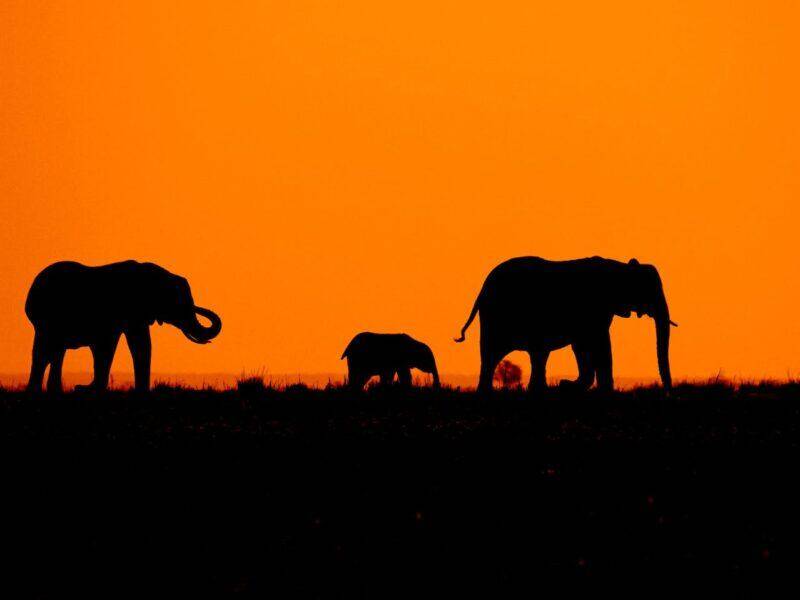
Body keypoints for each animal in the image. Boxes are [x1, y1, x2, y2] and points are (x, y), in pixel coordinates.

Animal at [25, 260, 222, 393]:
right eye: (178, 303)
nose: (198, 307)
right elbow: (121, 345)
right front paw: (88, 389)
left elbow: (135, 344)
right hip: (45, 320)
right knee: (44, 352)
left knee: (55, 352)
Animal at [455, 256, 676, 393]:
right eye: (649, 290)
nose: (667, 392)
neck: (620, 267)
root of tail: (482, 290)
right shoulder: (595, 308)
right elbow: (599, 343)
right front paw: (574, 386)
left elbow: (582, 346)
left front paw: (567, 385)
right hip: (496, 317)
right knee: (494, 354)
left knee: (534, 355)